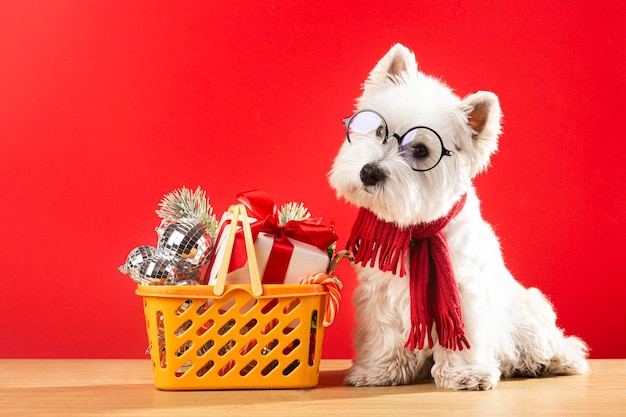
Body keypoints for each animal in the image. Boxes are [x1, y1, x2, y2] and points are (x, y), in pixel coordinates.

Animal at [330, 44, 588, 390]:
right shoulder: (380, 293)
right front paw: (377, 371)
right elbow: (384, 334)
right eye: (380, 130)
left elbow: (462, 336)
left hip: (530, 308)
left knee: (553, 342)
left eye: (421, 150)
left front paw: (467, 374)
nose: (369, 172)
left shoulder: (461, 292)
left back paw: (553, 361)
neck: (416, 230)